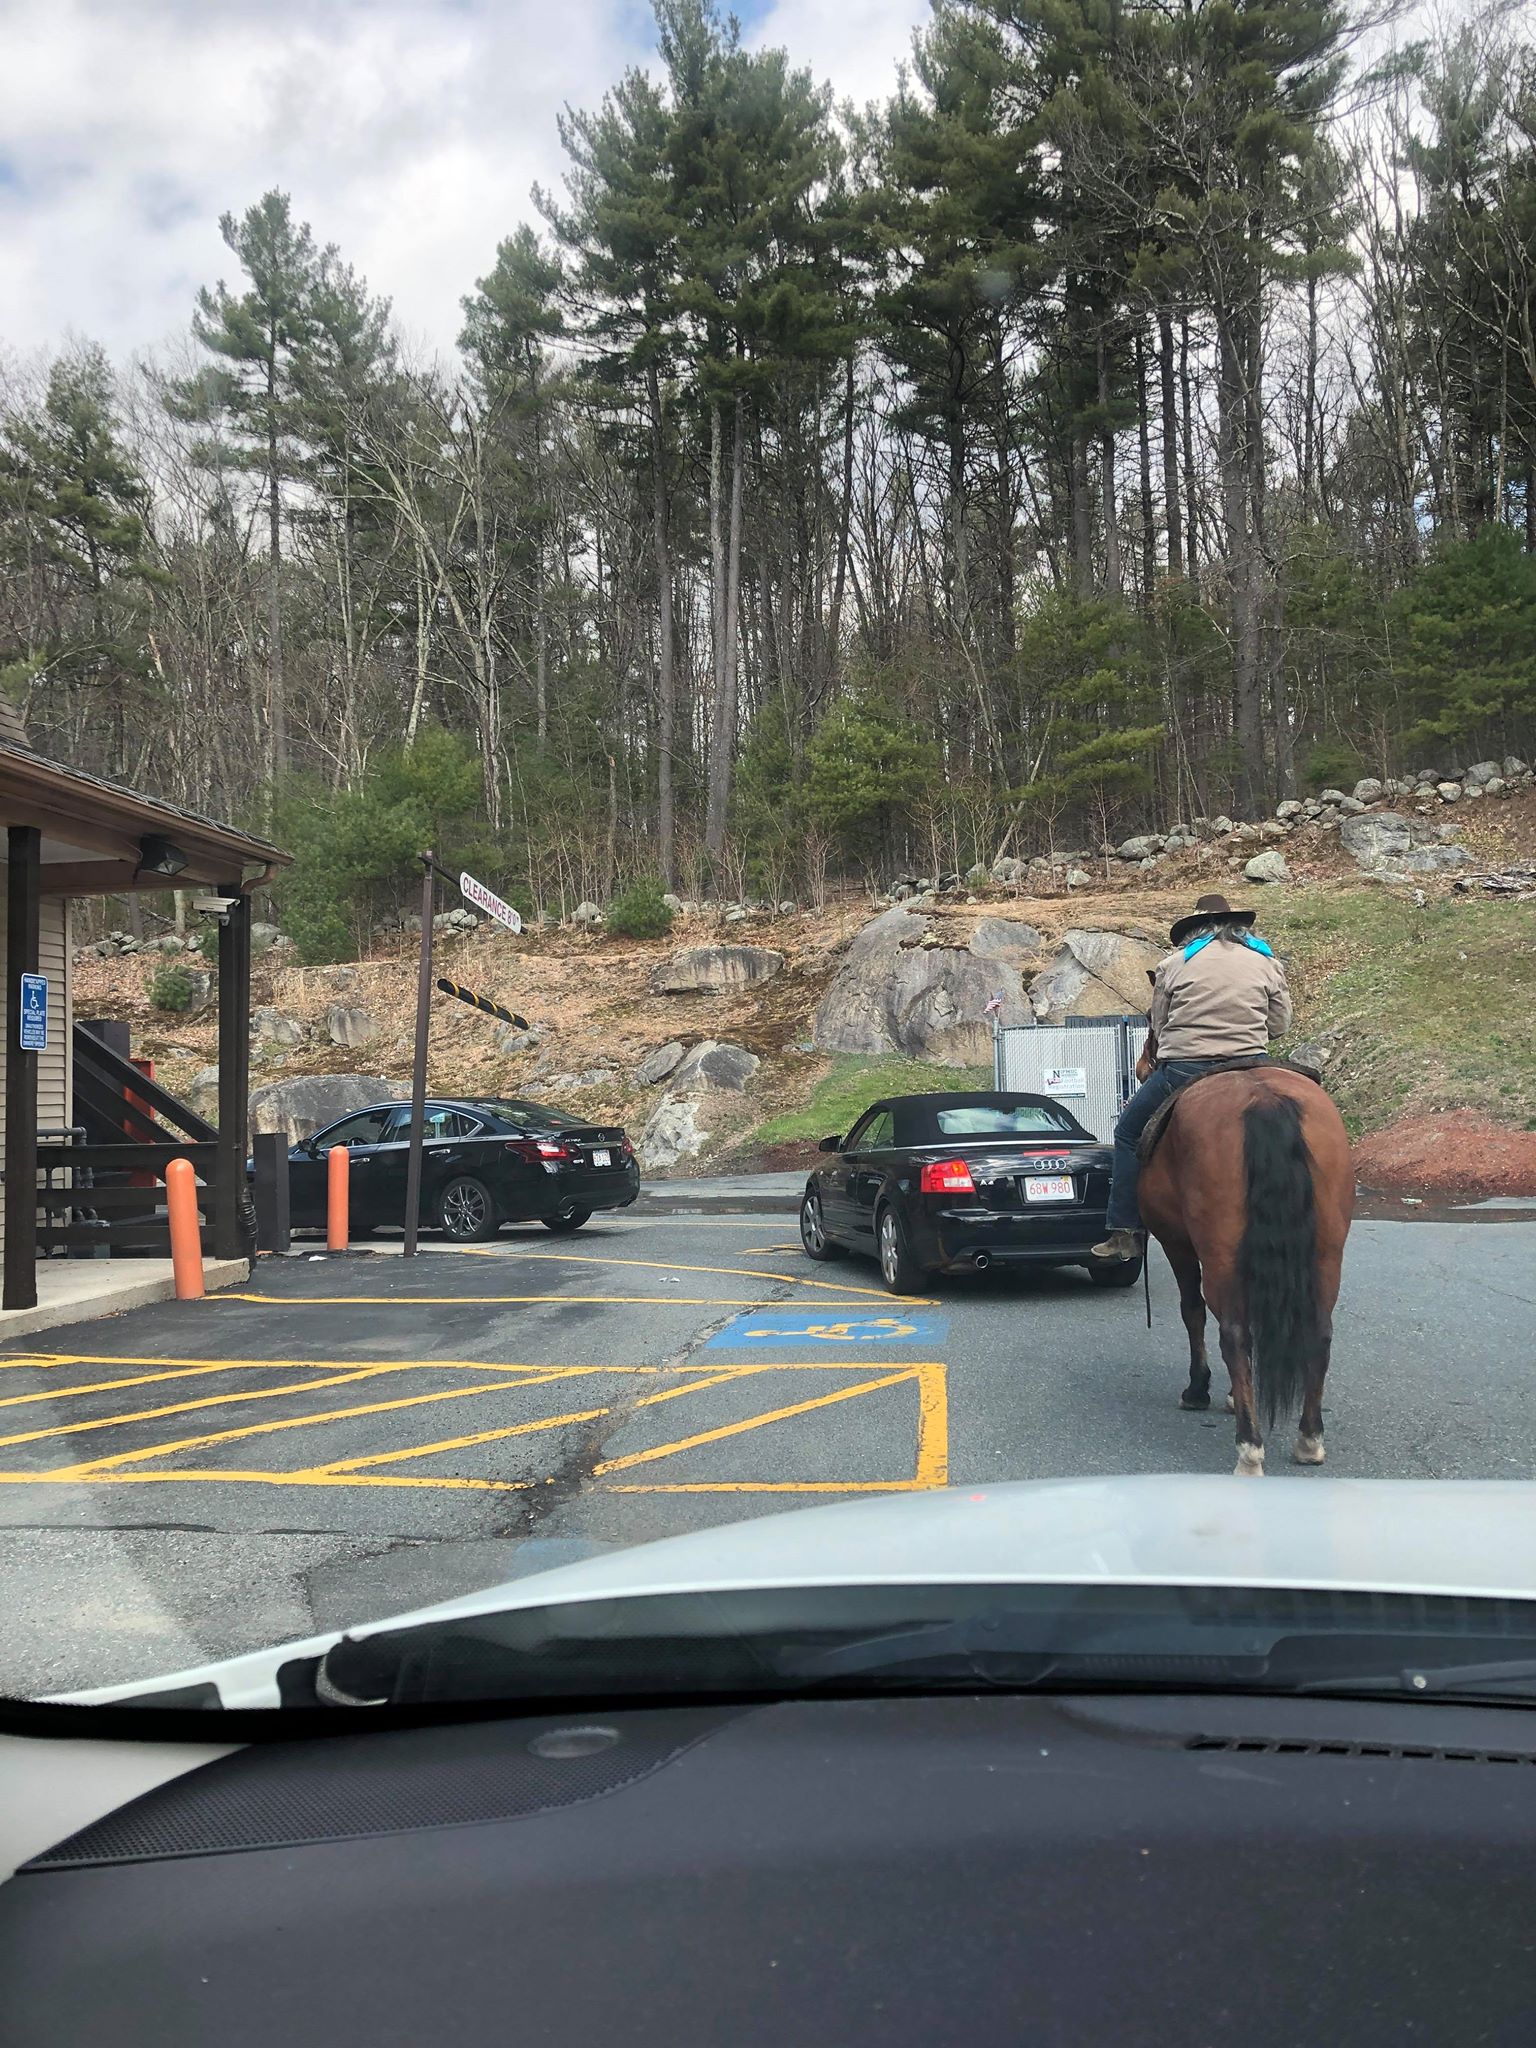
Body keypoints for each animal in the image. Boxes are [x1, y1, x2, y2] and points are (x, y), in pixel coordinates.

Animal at [1136, 1055, 1354, 1476]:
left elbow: (1192, 1312)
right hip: (1326, 1254)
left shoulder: (1176, 1243)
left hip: (1219, 1257)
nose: (1140, 1068)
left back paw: (1249, 1449)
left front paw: (1200, 1390)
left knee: (1234, 1336)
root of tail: (1264, 1100)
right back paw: (1309, 1440)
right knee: (1319, 1333)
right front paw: (1235, 1396)